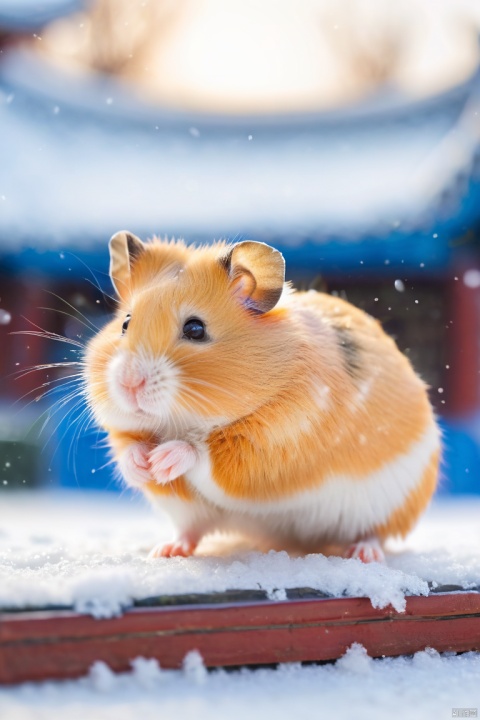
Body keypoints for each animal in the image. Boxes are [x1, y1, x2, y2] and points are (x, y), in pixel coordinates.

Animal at [85, 231, 438, 564]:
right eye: (125, 323)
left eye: (195, 329)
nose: (129, 383)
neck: (189, 420)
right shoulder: (124, 429)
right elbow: (127, 445)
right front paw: (142, 465)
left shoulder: (273, 447)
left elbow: (204, 454)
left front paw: (162, 460)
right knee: (191, 530)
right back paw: (166, 550)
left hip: (390, 505)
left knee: (374, 533)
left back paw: (363, 553)